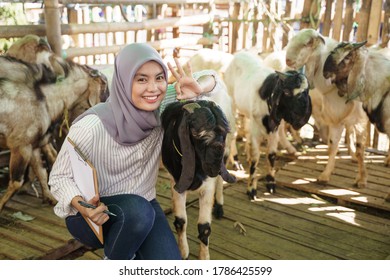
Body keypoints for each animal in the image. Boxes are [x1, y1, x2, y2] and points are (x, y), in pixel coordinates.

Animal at [161, 99, 236, 260]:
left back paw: (219, 207)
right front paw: (183, 252)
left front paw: (204, 256)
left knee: (220, 181)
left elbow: (204, 227)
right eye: (197, 134)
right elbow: (180, 221)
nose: (214, 167)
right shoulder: (176, 183)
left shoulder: (208, 187)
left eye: (224, 133)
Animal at [224, 50, 312, 199]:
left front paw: (271, 183)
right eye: (286, 92)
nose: (302, 115)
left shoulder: (274, 129)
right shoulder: (257, 130)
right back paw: (235, 160)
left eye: (307, 90)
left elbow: (271, 155)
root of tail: (239, 54)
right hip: (232, 103)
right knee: (234, 132)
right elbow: (256, 157)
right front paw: (251, 189)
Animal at [284, 27, 368, 188]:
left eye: (308, 43)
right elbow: (333, 145)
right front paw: (325, 175)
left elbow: (361, 148)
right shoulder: (335, 119)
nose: (288, 60)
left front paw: (361, 179)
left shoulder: (360, 120)